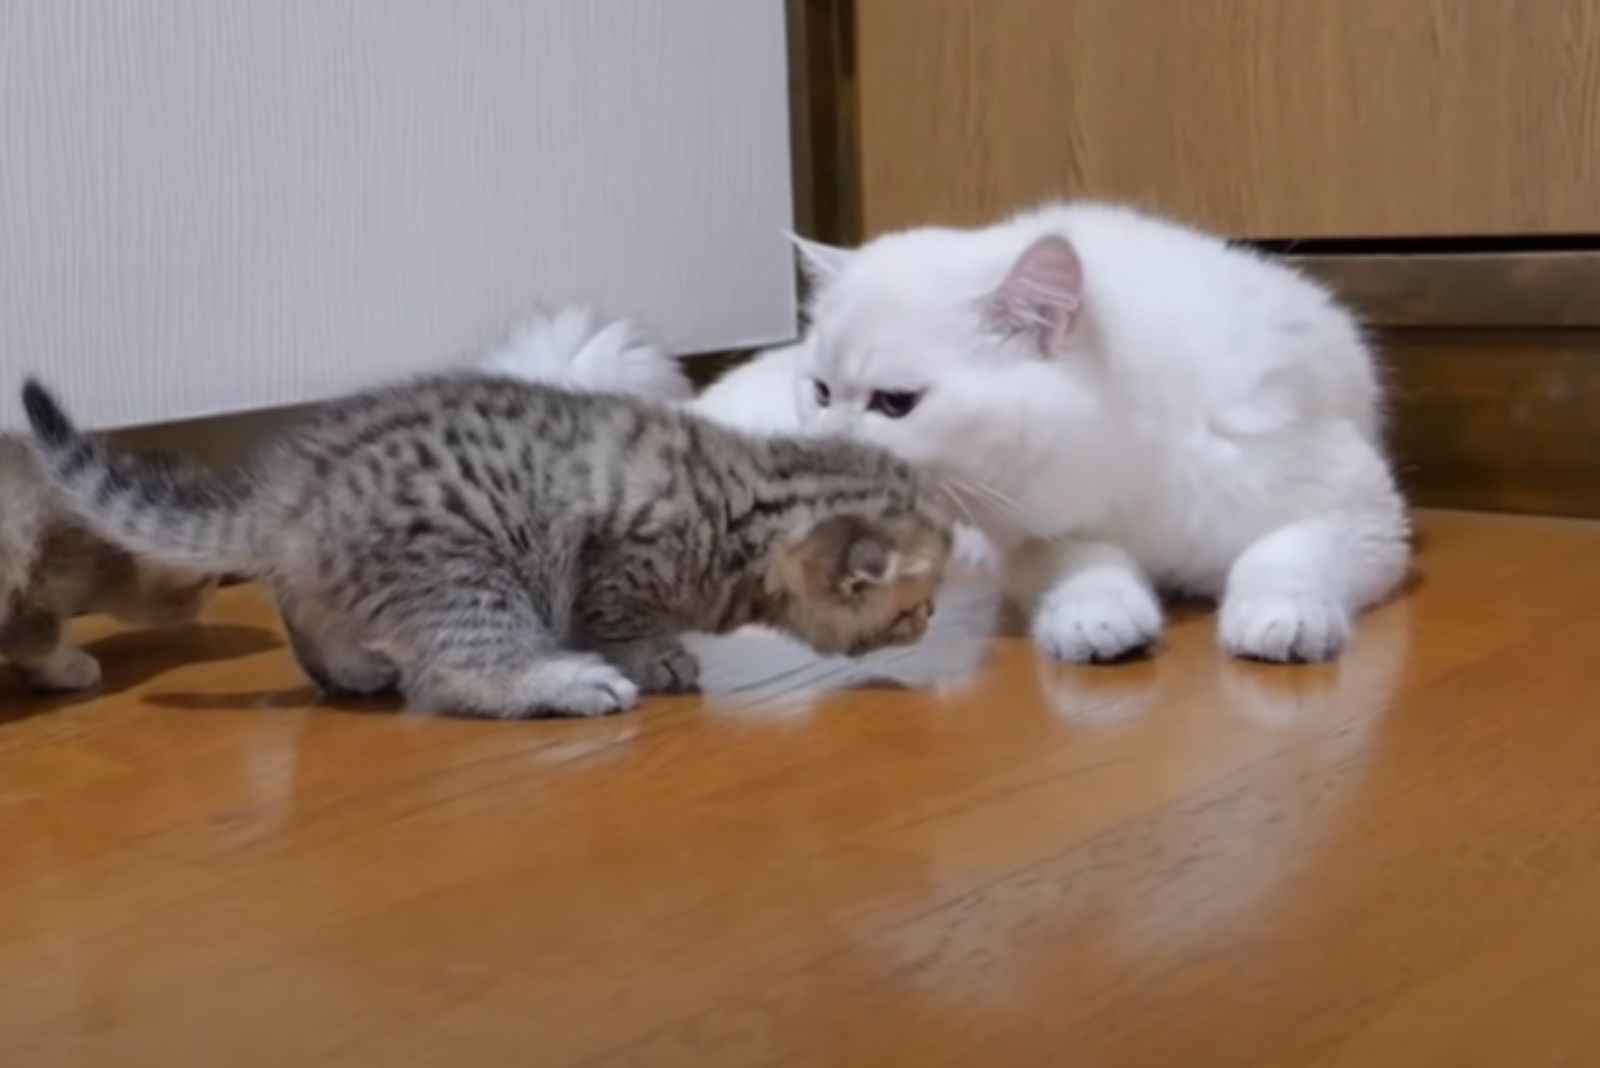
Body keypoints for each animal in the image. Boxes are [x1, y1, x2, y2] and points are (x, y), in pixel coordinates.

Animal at [694, 202, 1408, 658]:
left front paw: (1279, 619)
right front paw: (1098, 622)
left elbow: (1284, 553)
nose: (826, 443)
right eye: (820, 392)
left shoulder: (1360, 511)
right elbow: (1093, 566)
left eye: (895, 404)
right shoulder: (1034, 540)